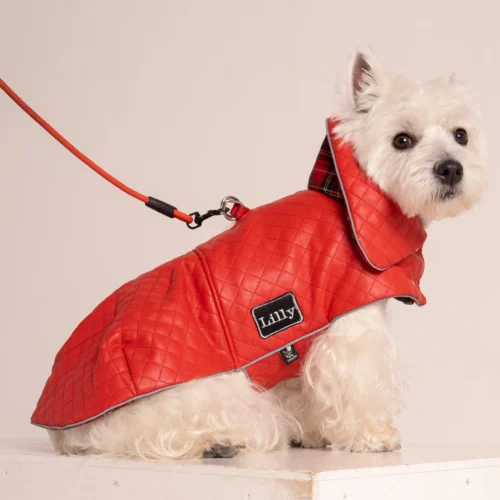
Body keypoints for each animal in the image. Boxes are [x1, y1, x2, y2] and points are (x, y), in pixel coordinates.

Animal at [48, 47, 486, 460]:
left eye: (461, 135)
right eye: (402, 140)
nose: (451, 169)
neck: (348, 201)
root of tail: (64, 428)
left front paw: (318, 433)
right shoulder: (352, 327)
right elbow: (357, 385)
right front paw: (373, 436)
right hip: (207, 395)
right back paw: (218, 441)